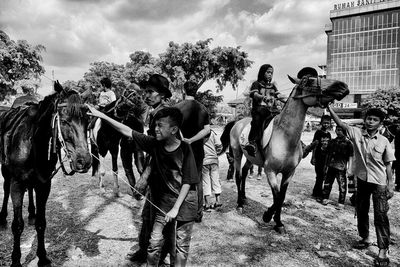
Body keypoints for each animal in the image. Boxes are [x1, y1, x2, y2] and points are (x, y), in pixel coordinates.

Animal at [0, 81, 91, 267]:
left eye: (87, 121)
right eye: (64, 121)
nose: (84, 161)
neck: (33, 143)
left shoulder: (44, 184)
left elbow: (41, 223)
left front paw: (42, 257)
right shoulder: (16, 184)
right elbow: (17, 225)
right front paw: (15, 260)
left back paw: (31, 213)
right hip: (5, 172)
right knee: (5, 190)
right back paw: (3, 217)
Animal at [220, 74, 348, 233]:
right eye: (309, 80)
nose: (342, 86)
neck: (285, 137)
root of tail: (237, 122)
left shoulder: (289, 173)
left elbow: (282, 196)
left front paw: (278, 222)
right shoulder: (270, 171)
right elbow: (277, 195)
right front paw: (268, 216)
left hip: (251, 157)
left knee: (244, 173)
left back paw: (244, 198)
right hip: (237, 153)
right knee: (238, 176)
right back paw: (239, 204)